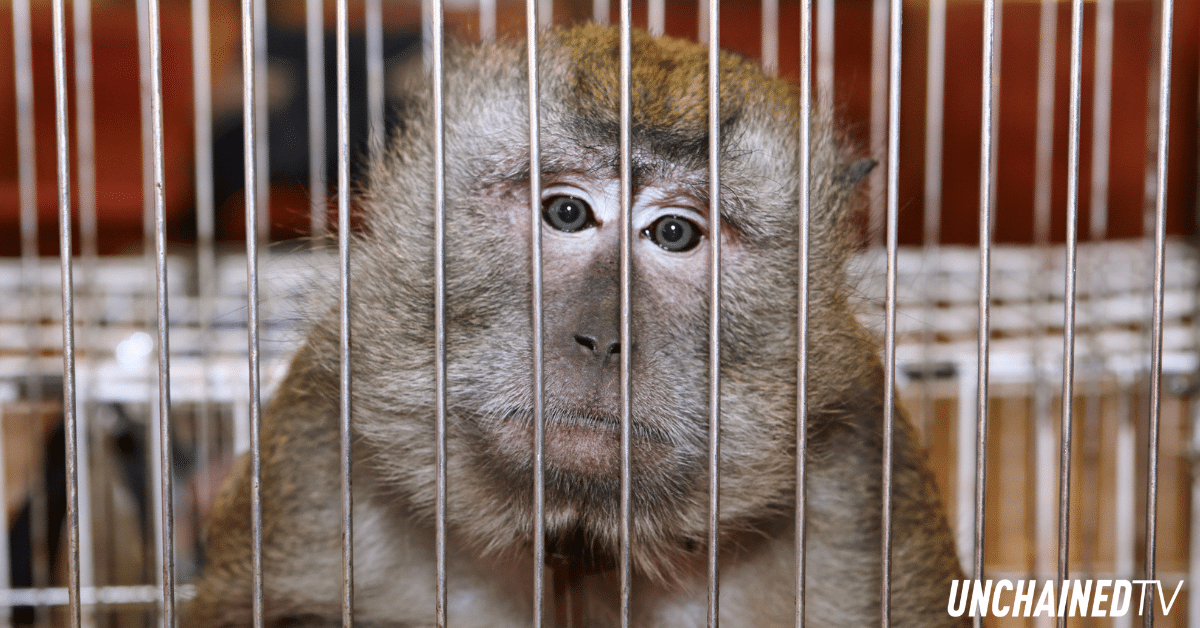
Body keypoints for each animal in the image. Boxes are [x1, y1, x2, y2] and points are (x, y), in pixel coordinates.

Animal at [184, 25, 968, 628]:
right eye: (566, 212)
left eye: (675, 233)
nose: (603, 340)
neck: (577, 543)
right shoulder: (318, 447)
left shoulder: (863, 481)